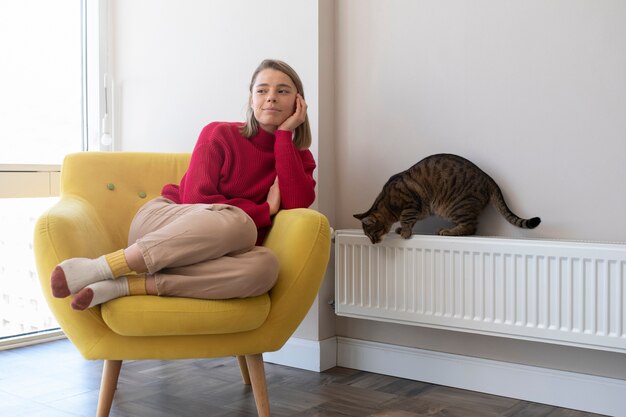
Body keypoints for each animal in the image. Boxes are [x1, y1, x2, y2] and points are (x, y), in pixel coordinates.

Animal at [354, 153, 540, 244]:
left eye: (372, 234)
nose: (373, 243)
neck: (386, 202)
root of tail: (489, 179)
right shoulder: (418, 209)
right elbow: (411, 221)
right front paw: (401, 229)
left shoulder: (411, 203)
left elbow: (407, 219)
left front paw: (405, 232)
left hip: (455, 207)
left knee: (471, 227)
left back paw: (448, 231)